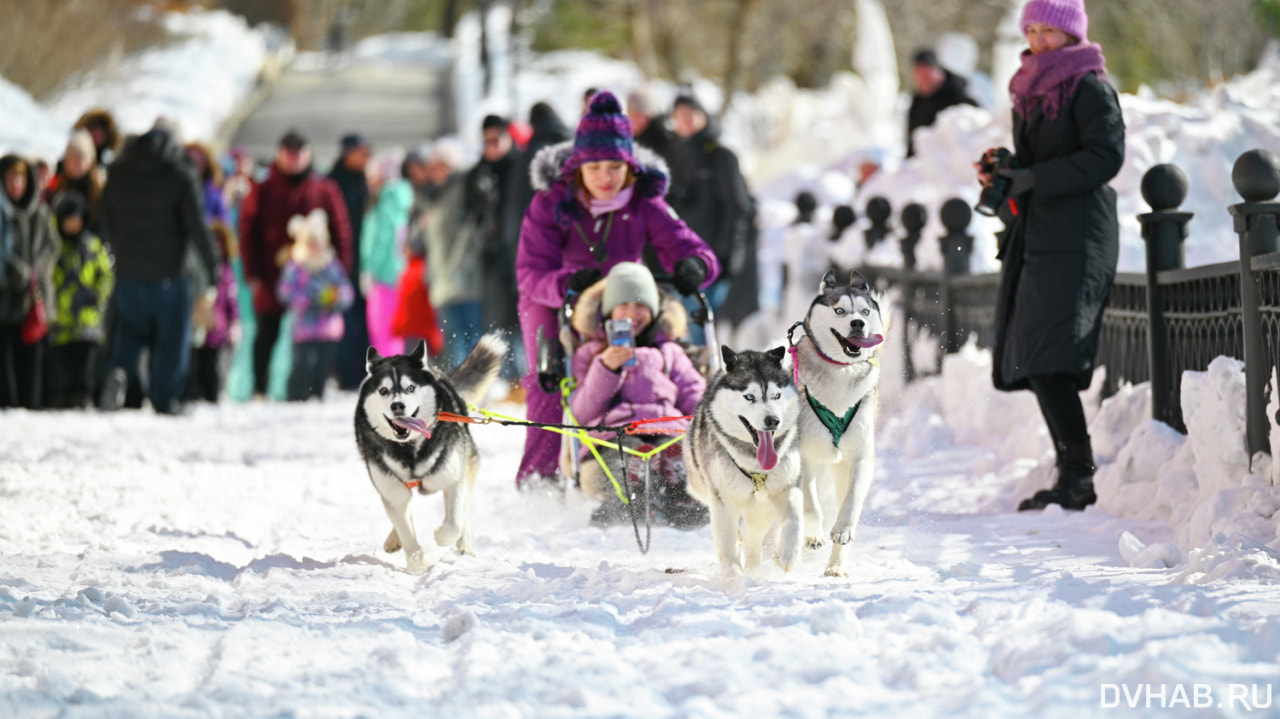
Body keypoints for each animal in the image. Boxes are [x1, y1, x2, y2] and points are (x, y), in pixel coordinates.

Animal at [358, 335, 506, 570]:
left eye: (410, 388)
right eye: (383, 391)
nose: (397, 406)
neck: (409, 450)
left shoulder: (454, 477)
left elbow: (454, 521)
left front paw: (441, 536)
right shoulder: (391, 489)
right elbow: (406, 530)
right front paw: (418, 567)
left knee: (462, 513)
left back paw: (465, 548)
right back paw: (394, 539)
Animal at [691, 345, 798, 573]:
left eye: (776, 395)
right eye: (749, 397)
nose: (773, 420)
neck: (756, 466)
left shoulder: (787, 486)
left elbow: (794, 514)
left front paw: (788, 554)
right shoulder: (722, 499)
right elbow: (727, 547)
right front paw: (733, 577)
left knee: (756, 537)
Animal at [788, 268, 890, 575]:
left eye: (865, 311)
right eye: (840, 310)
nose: (858, 323)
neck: (839, 372)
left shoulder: (860, 455)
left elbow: (853, 498)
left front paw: (842, 530)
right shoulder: (803, 455)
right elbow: (810, 505)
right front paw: (813, 534)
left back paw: (835, 566)